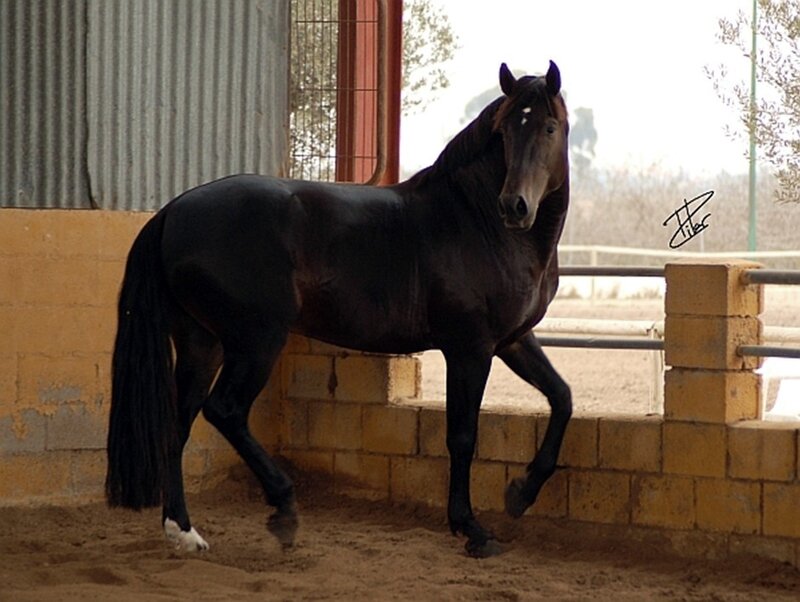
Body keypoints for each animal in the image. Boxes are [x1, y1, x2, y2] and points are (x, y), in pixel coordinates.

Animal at [106, 61, 572, 558]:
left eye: (548, 127)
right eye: (505, 131)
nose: (514, 206)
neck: (475, 221)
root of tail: (172, 211)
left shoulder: (512, 341)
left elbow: (561, 398)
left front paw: (520, 494)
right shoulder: (470, 349)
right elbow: (463, 436)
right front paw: (472, 529)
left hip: (202, 343)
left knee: (178, 424)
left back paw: (183, 531)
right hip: (256, 342)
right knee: (225, 411)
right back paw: (283, 509)